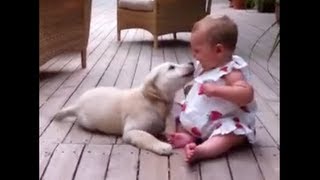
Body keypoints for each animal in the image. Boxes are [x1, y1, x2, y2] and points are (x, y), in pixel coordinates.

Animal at [54, 62, 195, 155]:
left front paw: (170, 132)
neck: (154, 102)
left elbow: (170, 119)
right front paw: (162, 146)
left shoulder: (167, 113)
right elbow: (147, 136)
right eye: (171, 67)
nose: (191, 62)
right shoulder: (130, 131)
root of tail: (77, 105)